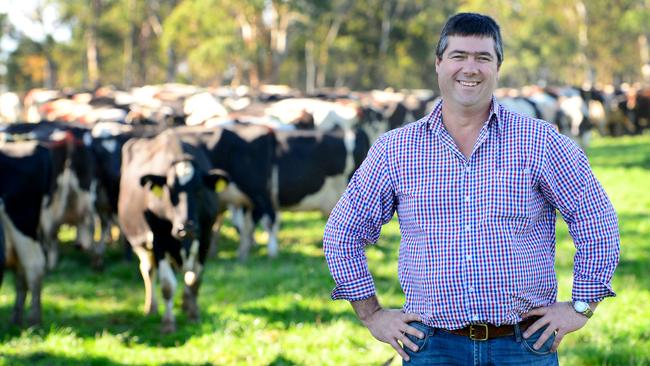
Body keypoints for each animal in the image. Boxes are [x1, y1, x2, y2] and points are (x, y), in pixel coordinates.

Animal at [118, 130, 228, 334]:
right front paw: (168, 323)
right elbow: (167, 285)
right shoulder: (159, 240)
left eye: (199, 189)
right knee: (148, 270)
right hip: (141, 244)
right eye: (170, 190)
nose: (187, 226)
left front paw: (193, 314)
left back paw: (185, 304)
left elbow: (195, 280)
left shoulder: (206, 237)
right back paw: (151, 308)